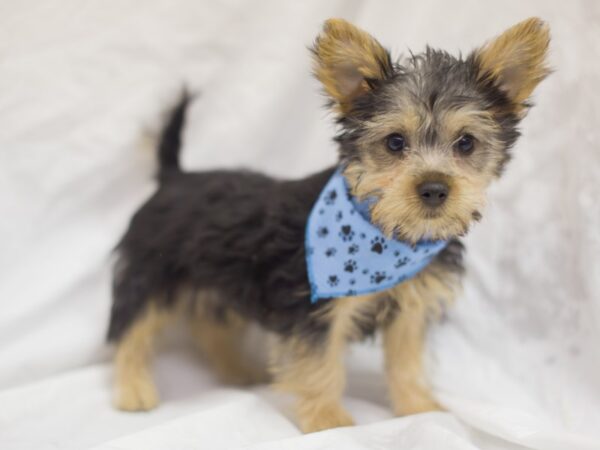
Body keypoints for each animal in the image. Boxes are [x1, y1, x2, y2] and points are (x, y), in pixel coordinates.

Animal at [106, 16, 548, 432]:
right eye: (394, 143)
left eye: (466, 143)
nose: (435, 189)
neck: (386, 231)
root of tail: (173, 177)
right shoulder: (313, 308)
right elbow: (320, 365)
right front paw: (328, 419)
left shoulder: (409, 306)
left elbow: (406, 360)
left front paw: (418, 408)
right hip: (153, 271)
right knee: (131, 329)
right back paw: (133, 389)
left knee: (210, 325)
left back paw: (238, 372)